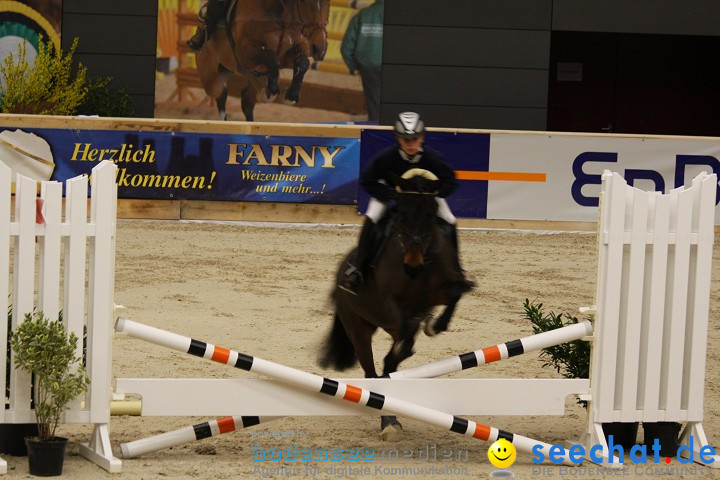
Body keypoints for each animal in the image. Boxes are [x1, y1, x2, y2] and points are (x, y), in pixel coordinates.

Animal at [194, 0, 330, 121]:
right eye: (303, 1)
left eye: (328, 3)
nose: (319, 49)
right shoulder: (244, 52)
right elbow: (271, 58)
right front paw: (274, 90)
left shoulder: (291, 53)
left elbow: (303, 64)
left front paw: (290, 95)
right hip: (211, 78)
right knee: (221, 94)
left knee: (247, 101)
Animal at [320, 171, 476, 440]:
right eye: (401, 213)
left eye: (429, 214)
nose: (412, 265)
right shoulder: (389, 302)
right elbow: (402, 321)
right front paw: (416, 336)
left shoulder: (440, 292)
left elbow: (454, 294)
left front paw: (434, 326)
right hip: (358, 328)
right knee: (372, 371)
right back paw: (387, 419)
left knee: (389, 362)